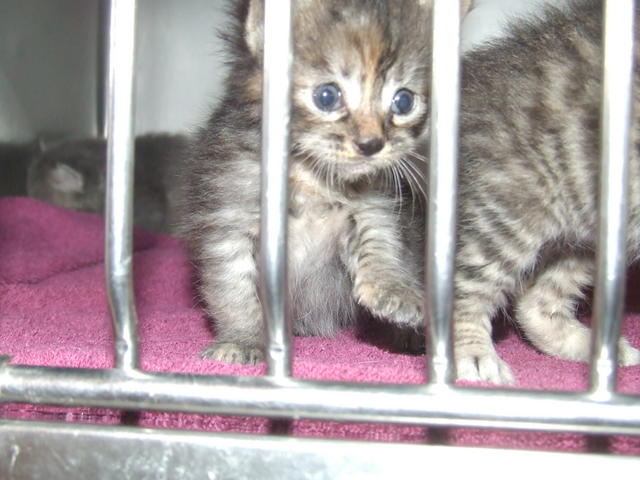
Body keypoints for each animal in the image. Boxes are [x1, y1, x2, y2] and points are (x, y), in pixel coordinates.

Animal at [179, 0, 474, 364]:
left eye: (403, 101)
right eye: (326, 96)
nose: (371, 144)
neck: (309, 176)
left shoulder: (371, 206)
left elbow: (380, 240)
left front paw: (392, 288)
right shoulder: (227, 223)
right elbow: (234, 290)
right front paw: (243, 340)